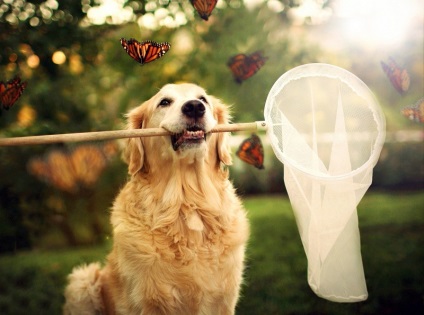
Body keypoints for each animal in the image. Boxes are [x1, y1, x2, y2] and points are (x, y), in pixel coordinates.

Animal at [63, 82, 248, 314]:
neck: (186, 203)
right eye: (164, 102)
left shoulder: (224, 300)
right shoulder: (149, 303)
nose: (194, 107)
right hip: (82, 281)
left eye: (203, 99)